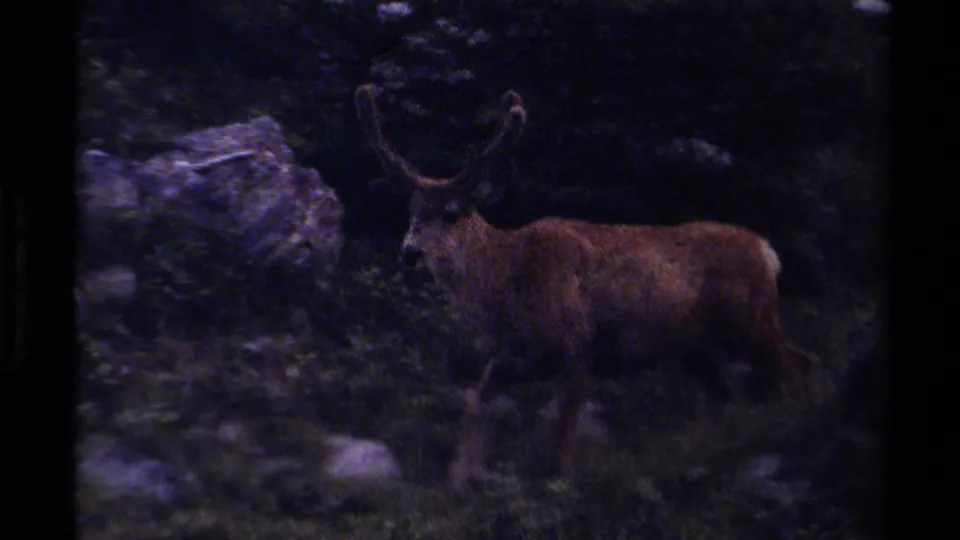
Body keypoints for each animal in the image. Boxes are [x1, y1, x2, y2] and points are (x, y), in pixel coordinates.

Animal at [354, 83, 818, 492]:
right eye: (412, 210)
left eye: (451, 213)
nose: (410, 252)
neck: (507, 280)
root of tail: (767, 251)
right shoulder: (508, 359)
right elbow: (472, 417)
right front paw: (457, 484)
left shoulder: (578, 346)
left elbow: (561, 438)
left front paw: (559, 488)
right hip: (696, 348)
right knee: (732, 394)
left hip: (750, 320)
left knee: (797, 362)